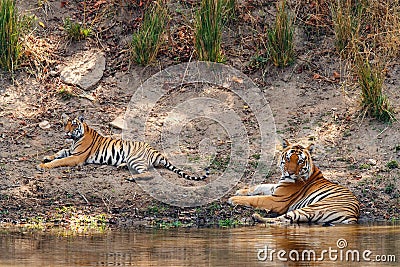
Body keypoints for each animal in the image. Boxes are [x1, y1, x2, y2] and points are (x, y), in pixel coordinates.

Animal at [37, 115, 209, 182]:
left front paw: (44, 165)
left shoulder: (76, 157)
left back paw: (131, 177)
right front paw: (46, 158)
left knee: (149, 174)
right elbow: (59, 152)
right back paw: (121, 166)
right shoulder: (71, 150)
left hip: (135, 158)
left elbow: (60, 160)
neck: (76, 138)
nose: (66, 131)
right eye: (64, 124)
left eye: (73, 124)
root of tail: (155, 150)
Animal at [227, 140, 360, 226]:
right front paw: (240, 191)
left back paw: (256, 217)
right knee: (285, 220)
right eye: (288, 158)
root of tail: (353, 215)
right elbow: (259, 186)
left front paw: (233, 198)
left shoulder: (276, 200)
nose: (290, 173)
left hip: (312, 208)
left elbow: (256, 199)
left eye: (300, 161)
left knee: (282, 220)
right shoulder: (276, 187)